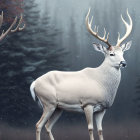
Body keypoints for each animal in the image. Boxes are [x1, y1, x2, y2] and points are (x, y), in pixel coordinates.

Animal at [29, 8, 132, 140]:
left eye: (123, 53)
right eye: (111, 54)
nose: (123, 63)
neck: (102, 83)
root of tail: (34, 83)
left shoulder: (102, 108)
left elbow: (100, 130)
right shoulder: (88, 103)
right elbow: (90, 128)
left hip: (58, 107)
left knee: (47, 126)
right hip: (48, 102)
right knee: (38, 125)